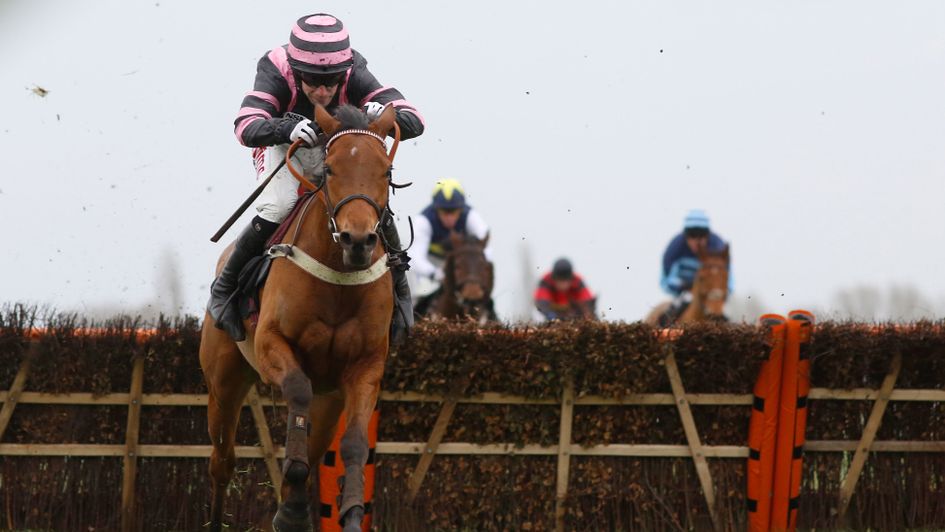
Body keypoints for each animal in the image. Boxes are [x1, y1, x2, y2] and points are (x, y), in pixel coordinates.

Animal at [199, 104, 401, 532]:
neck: (339, 279)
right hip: (223, 381)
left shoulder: (365, 367)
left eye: (386, 171)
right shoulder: (272, 344)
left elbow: (354, 444)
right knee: (222, 462)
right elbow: (297, 390)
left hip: (330, 401)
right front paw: (293, 511)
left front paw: (350, 514)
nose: (358, 241)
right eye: (330, 169)